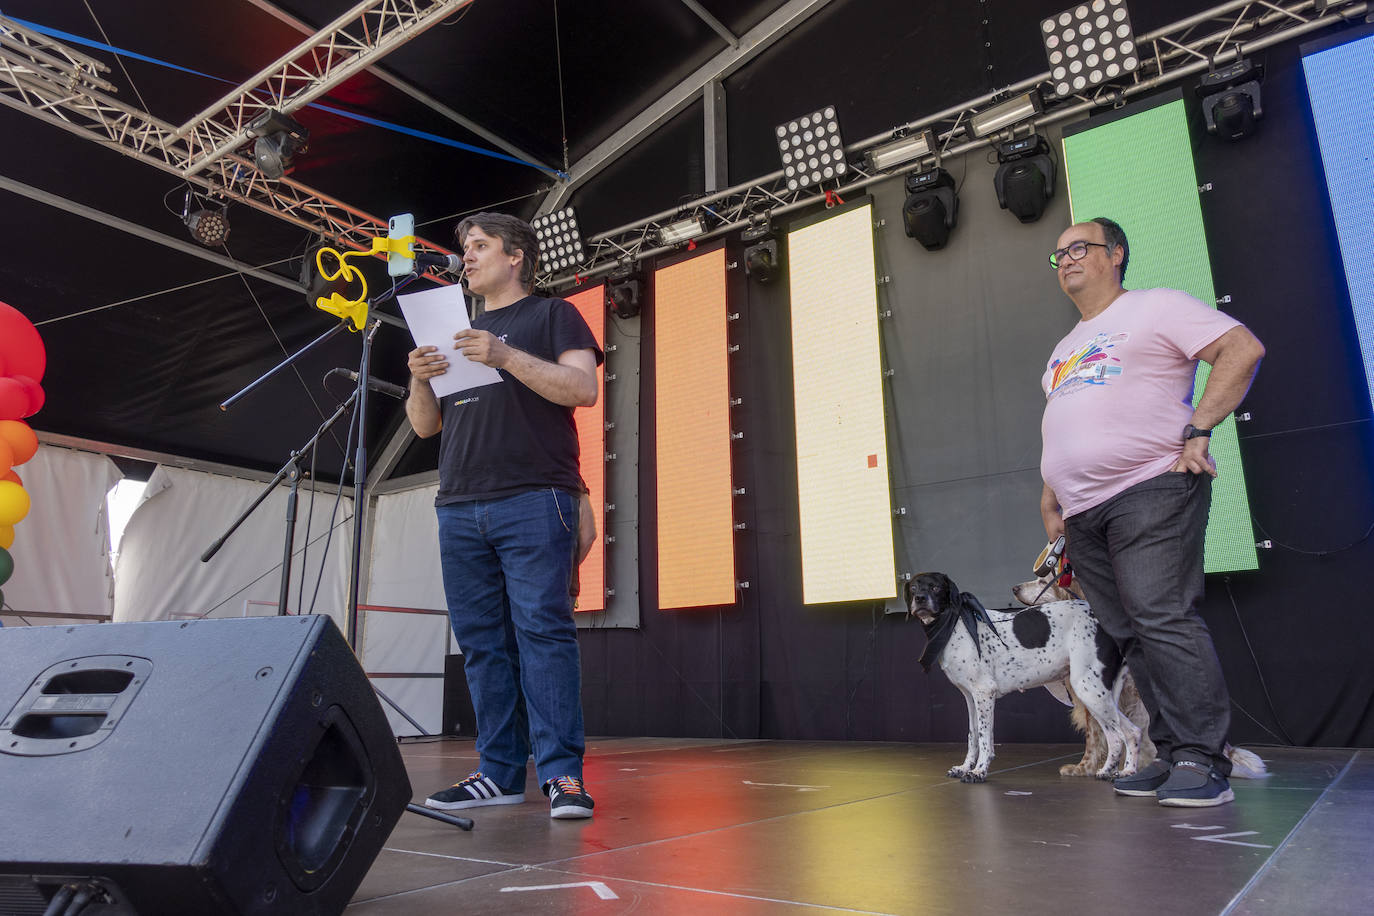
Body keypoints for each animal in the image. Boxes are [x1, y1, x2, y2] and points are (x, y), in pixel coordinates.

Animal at [906, 574, 1143, 780]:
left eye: (936, 587)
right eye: (913, 588)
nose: (920, 599)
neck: (956, 623)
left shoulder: (984, 693)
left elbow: (984, 738)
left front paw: (979, 770)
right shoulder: (970, 697)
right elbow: (973, 735)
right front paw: (965, 767)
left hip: (1089, 690)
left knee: (1119, 735)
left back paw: (1117, 771)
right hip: (1100, 695)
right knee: (1130, 733)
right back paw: (1123, 771)